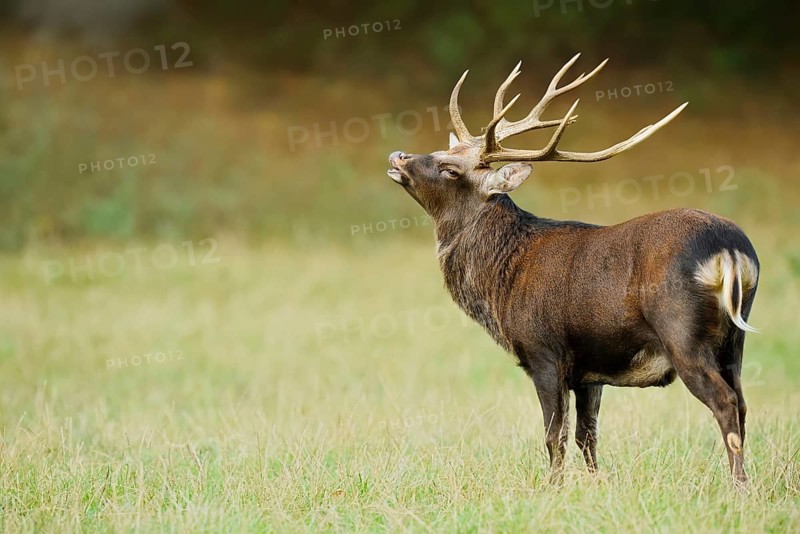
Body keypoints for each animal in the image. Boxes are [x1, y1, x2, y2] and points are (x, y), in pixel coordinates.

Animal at [386, 54, 759, 485]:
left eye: (450, 169)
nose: (398, 156)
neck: (502, 280)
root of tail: (730, 249)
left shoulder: (544, 352)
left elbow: (554, 435)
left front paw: (552, 487)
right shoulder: (589, 369)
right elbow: (587, 434)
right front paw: (596, 484)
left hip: (682, 332)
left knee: (725, 402)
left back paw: (738, 486)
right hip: (734, 340)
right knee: (743, 402)